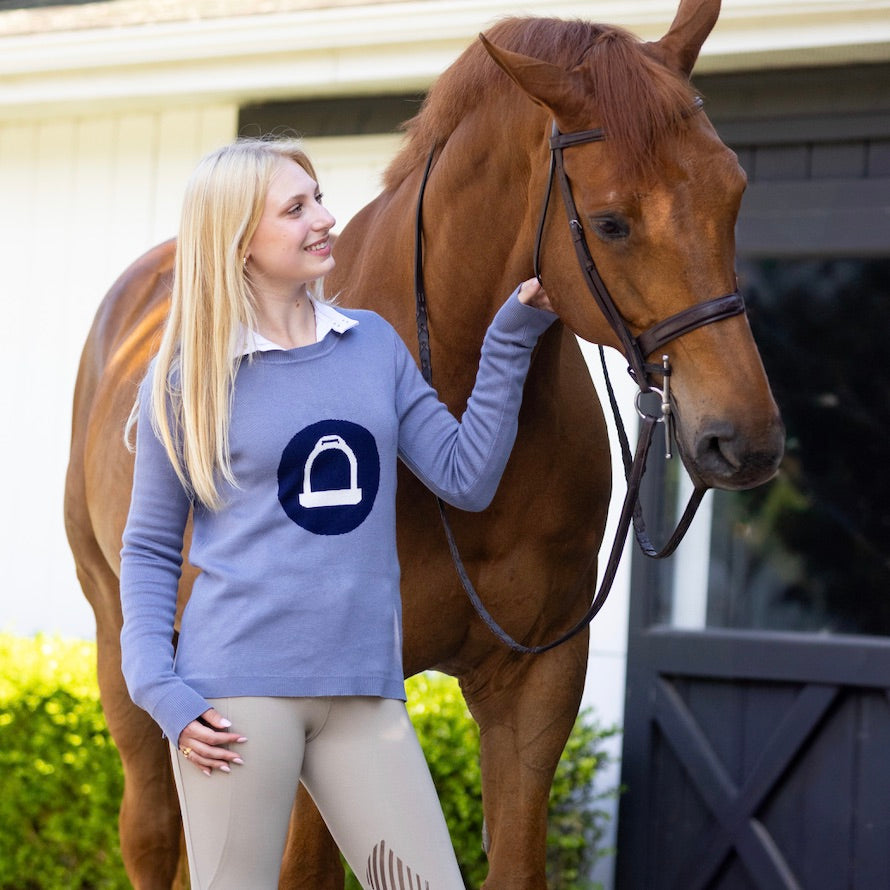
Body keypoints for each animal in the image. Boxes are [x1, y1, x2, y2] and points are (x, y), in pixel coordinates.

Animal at [66, 3, 780, 884]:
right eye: (612, 222)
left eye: (732, 190)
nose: (744, 439)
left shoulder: (536, 685)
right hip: (119, 643)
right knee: (154, 830)